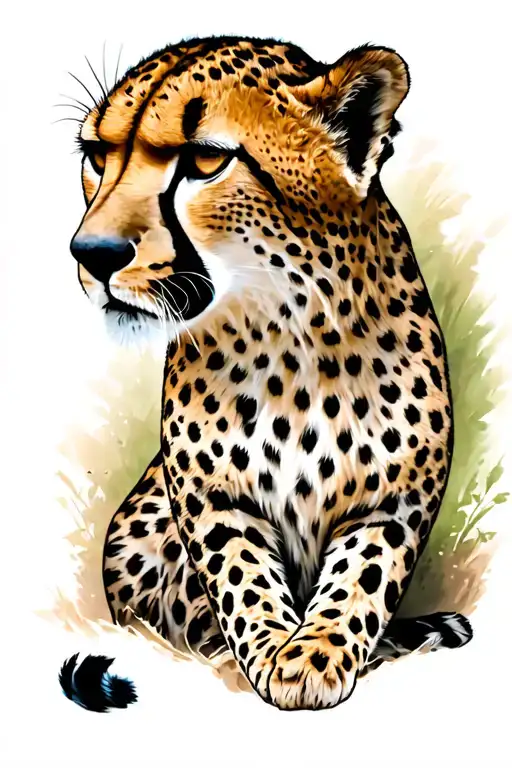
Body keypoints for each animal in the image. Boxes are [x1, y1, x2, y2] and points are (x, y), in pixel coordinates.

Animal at [59, 35, 473, 713]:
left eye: (205, 159)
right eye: (98, 155)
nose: (92, 255)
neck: (288, 331)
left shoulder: (393, 501)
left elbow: (362, 574)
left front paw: (315, 652)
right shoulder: (212, 500)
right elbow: (239, 572)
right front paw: (277, 651)